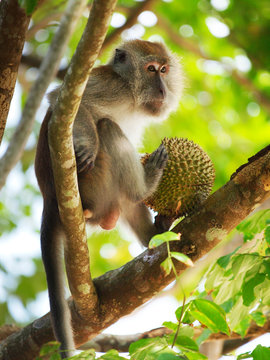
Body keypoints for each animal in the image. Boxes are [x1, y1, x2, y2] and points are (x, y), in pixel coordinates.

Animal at [34, 39, 184, 358]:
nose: (162, 90)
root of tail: (50, 197)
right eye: (150, 69)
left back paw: (154, 234)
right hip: (93, 186)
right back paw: (146, 185)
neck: (131, 91)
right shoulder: (110, 87)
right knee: (107, 127)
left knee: (126, 199)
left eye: (164, 70)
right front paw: (89, 145)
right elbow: (61, 101)